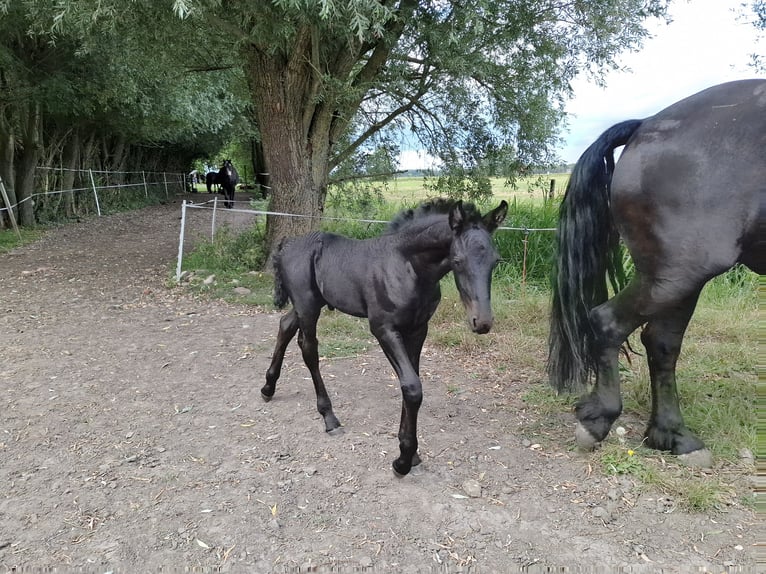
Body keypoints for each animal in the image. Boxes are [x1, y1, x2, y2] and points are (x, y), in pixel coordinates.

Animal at [262, 198, 508, 476]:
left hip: (308, 304)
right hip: (307, 307)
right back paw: (329, 417)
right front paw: (403, 460)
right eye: (457, 260)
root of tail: (287, 244)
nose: (483, 322)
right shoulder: (383, 328)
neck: (407, 267)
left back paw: (268, 388)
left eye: (495, 261)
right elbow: (412, 387)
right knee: (309, 350)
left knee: (285, 326)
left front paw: (411, 454)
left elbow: (411, 381)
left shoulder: (418, 329)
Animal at [548, 79, 764, 467]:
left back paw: (673, 435)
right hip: (676, 274)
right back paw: (599, 420)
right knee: (609, 322)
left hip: (677, 278)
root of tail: (646, 124)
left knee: (662, 343)